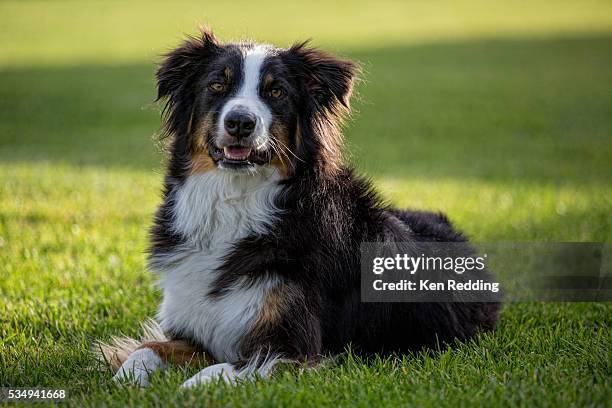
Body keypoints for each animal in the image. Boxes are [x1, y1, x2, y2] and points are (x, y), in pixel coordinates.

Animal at [100, 27, 500, 388]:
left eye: (276, 91)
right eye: (217, 86)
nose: (240, 122)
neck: (234, 202)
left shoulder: (294, 348)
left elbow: (221, 371)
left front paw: (190, 388)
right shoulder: (198, 329)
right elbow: (146, 350)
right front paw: (126, 376)